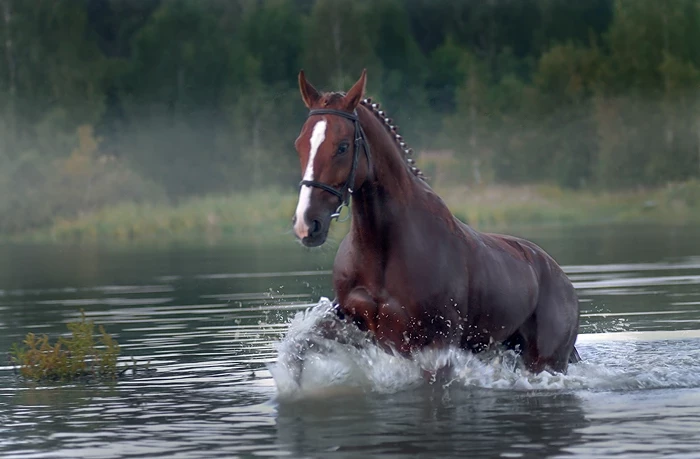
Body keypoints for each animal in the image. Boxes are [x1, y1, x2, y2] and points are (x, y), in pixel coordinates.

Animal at [290, 70, 580, 376]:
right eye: (300, 144)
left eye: (343, 147)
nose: (307, 223)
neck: (381, 250)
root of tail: (564, 281)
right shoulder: (351, 323)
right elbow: (301, 346)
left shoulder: (436, 342)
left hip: (546, 361)